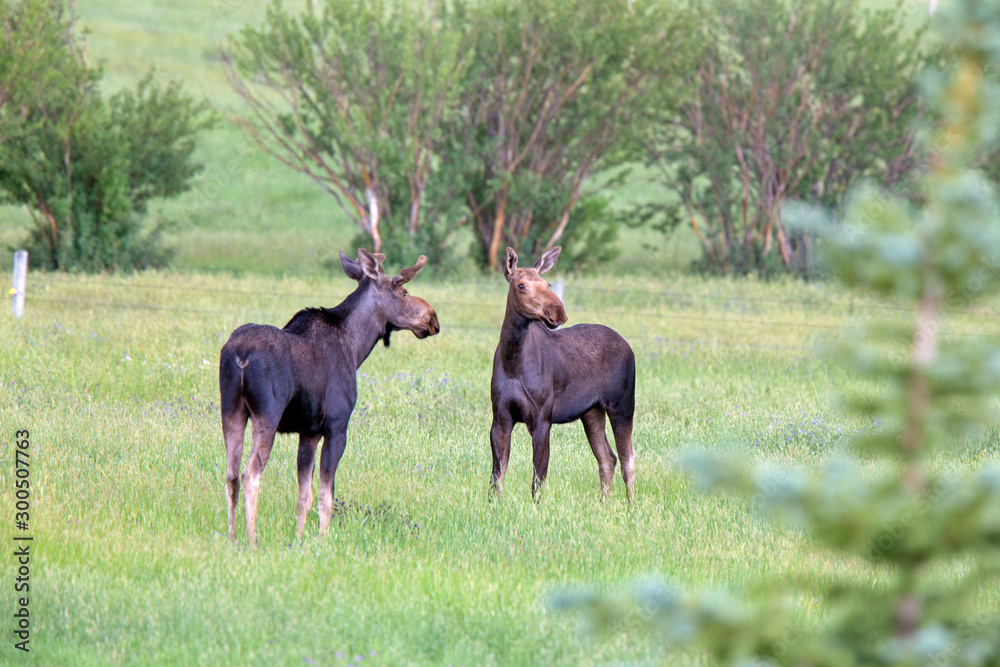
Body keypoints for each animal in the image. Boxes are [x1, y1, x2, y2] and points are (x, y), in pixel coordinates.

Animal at [219, 249, 439, 546]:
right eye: (403, 292)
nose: (433, 319)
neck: (356, 348)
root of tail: (240, 354)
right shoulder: (336, 427)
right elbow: (327, 496)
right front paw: (323, 540)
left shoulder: (309, 432)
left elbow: (304, 495)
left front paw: (299, 539)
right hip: (267, 415)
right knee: (249, 473)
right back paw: (252, 540)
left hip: (231, 410)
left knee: (231, 474)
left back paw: (232, 538)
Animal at [490, 246, 636, 502]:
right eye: (521, 285)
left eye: (546, 283)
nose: (557, 311)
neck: (513, 361)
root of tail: (629, 347)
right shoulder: (500, 418)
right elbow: (497, 476)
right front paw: (493, 505)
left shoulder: (541, 419)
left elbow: (538, 478)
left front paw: (536, 507)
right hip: (591, 412)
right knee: (608, 458)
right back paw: (604, 503)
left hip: (622, 405)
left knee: (628, 457)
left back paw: (630, 505)